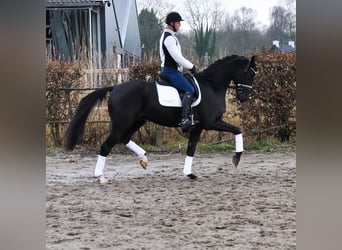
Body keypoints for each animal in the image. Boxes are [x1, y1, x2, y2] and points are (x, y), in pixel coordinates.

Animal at [64, 55, 256, 184]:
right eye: (249, 74)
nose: (244, 97)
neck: (212, 86)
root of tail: (115, 88)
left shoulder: (198, 127)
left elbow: (191, 149)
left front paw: (189, 174)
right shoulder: (211, 123)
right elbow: (238, 130)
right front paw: (237, 158)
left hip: (137, 121)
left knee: (124, 138)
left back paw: (143, 159)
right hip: (121, 124)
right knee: (107, 146)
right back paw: (101, 177)